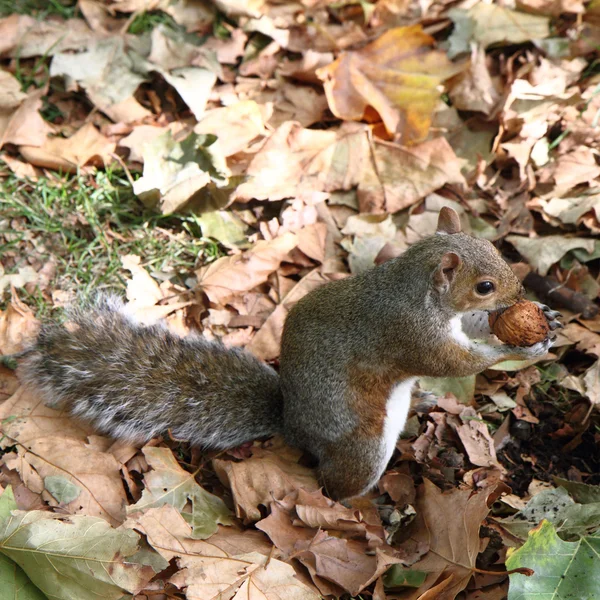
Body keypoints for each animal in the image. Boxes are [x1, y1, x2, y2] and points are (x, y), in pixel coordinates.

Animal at [14, 209, 560, 500]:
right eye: (484, 285)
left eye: (497, 249)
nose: (520, 292)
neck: (416, 290)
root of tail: (292, 426)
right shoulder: (411, 334)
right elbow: (455, 362)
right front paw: (514, 347)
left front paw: (543, 323)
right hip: (362, 448)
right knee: (336, 486)